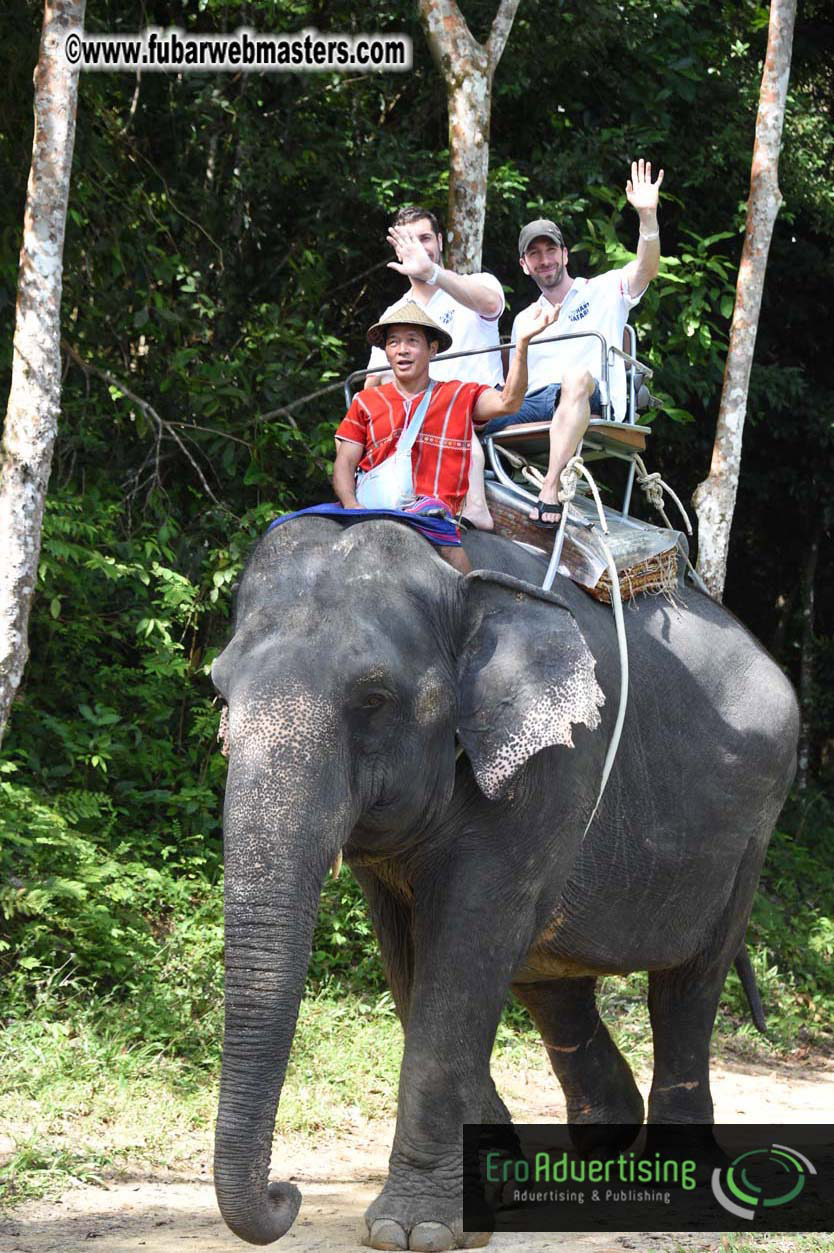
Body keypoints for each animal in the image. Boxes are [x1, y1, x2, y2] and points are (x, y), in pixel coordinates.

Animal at [210, 514, 798, 1250]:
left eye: (374, 699)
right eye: (219, 691)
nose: (286, 1191)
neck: (455, 579)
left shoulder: (555, 766)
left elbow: (464, 948)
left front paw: (415, 1229)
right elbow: (411, 961)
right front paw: (487, 1186)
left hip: (753, 827)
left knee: (688, 983)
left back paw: (683, 1182)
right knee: (550, 981)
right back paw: (597, 1150)